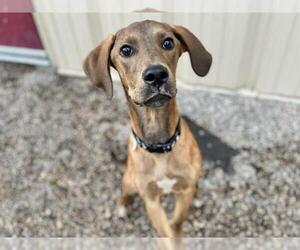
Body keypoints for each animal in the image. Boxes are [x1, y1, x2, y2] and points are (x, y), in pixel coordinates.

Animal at [83, 19, 212, 236]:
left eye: (168, 42)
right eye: (125, 50)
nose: (157, 75)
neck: (159, 146)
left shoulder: (184, 190)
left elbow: (176, 224)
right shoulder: (151, 201)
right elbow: (166, 233)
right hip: (129, 180)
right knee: (125, 190)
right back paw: (123, 206)